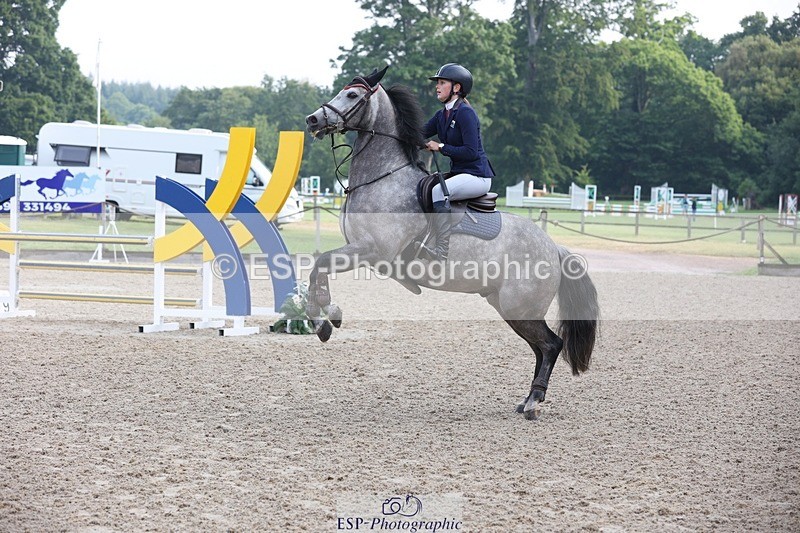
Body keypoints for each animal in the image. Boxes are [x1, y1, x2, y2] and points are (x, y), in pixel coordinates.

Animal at [304, 67, 599, 419]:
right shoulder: (362, 252)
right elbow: (317, 267)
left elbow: (320, 265)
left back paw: (533, 402)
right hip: (508, 307)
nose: (312, 120)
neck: (382, 178)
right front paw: (324, 317)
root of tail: (554, 249)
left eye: (351, 95)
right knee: (541, 348)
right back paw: (527, 400)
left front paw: (326, 317)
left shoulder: (372, 250)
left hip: (520, 306)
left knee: (551, 345)